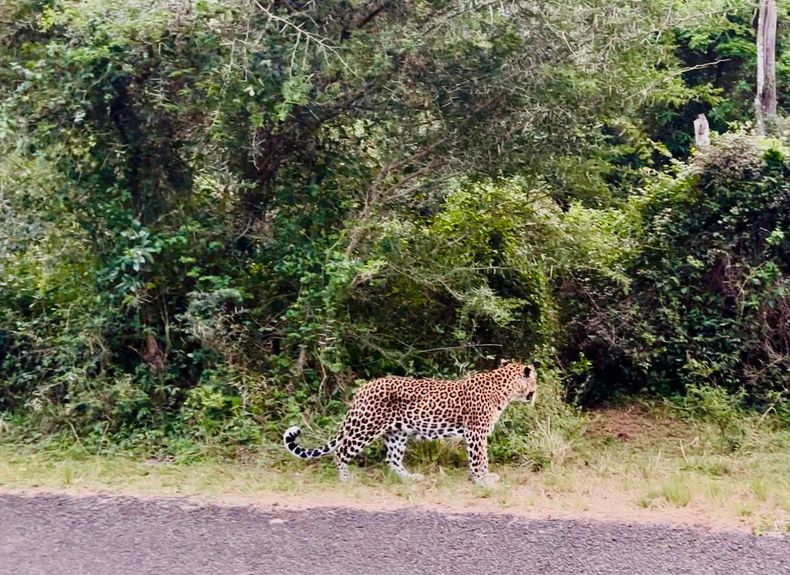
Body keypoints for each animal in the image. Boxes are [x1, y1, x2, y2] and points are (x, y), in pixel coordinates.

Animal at [283, 360, 537, 485]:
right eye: (534, 379)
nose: (536, 391)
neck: (506, 390)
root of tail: (364, 388)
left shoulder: (476, 434)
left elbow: (480, 458)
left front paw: (482, 479)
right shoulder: (476, 432)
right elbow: (479, 459)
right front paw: (483, 480)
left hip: (397, 433)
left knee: (391, 459)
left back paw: (411, 479)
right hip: (365, 427)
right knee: (341, 452)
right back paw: (345, 480)